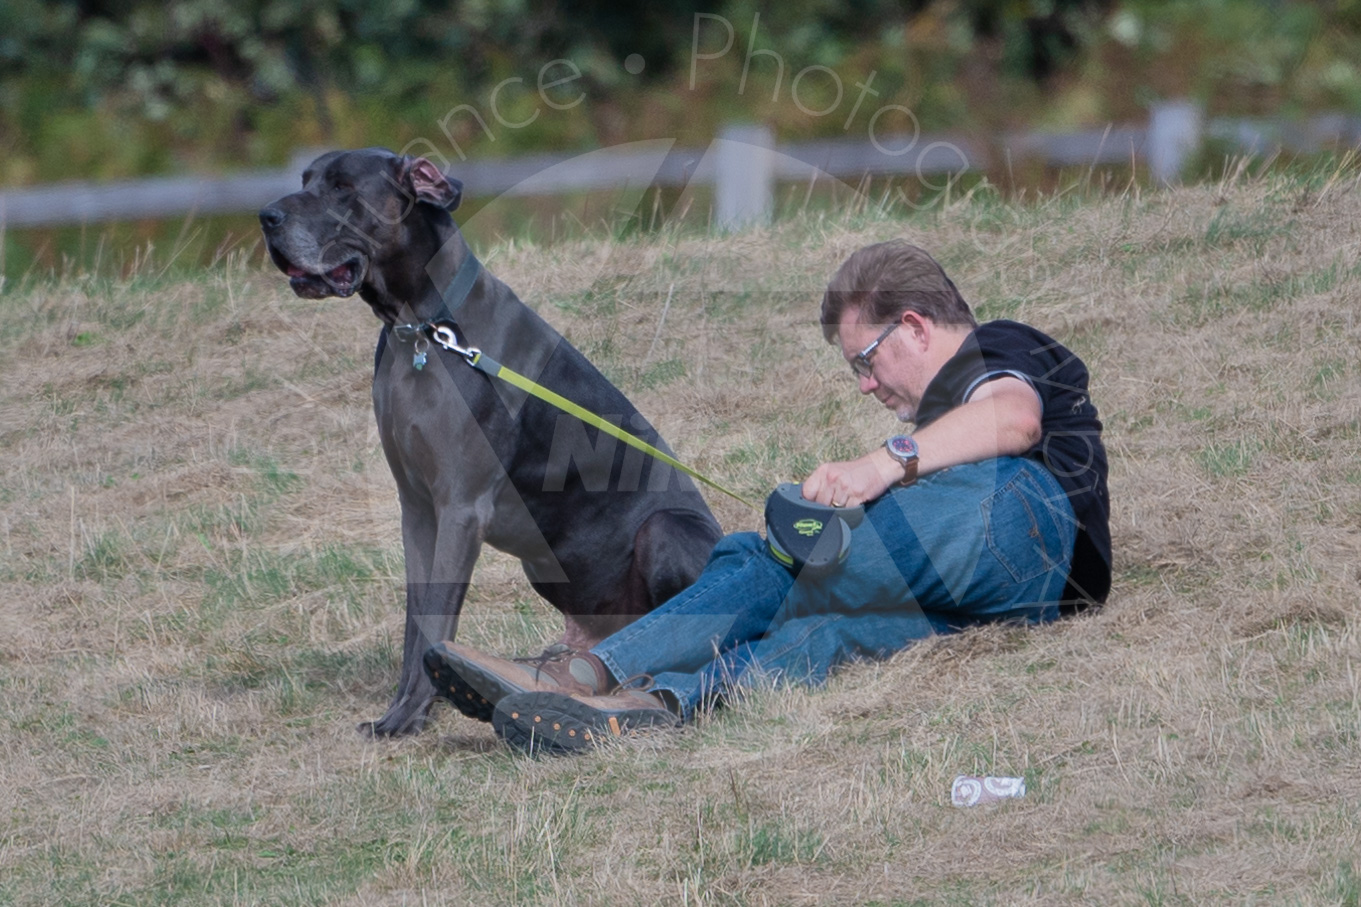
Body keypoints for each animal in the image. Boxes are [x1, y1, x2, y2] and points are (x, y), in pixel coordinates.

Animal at [257, 145, 724, 729]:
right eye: (305, 180)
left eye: (343, 188)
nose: (266, 217)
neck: (424, 331)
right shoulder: (417, 509)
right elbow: (417, 620)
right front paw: (401, 710)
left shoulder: (461, 507)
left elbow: (438, 622)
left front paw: (412, 716)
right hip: (544, 566)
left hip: (665, 530)